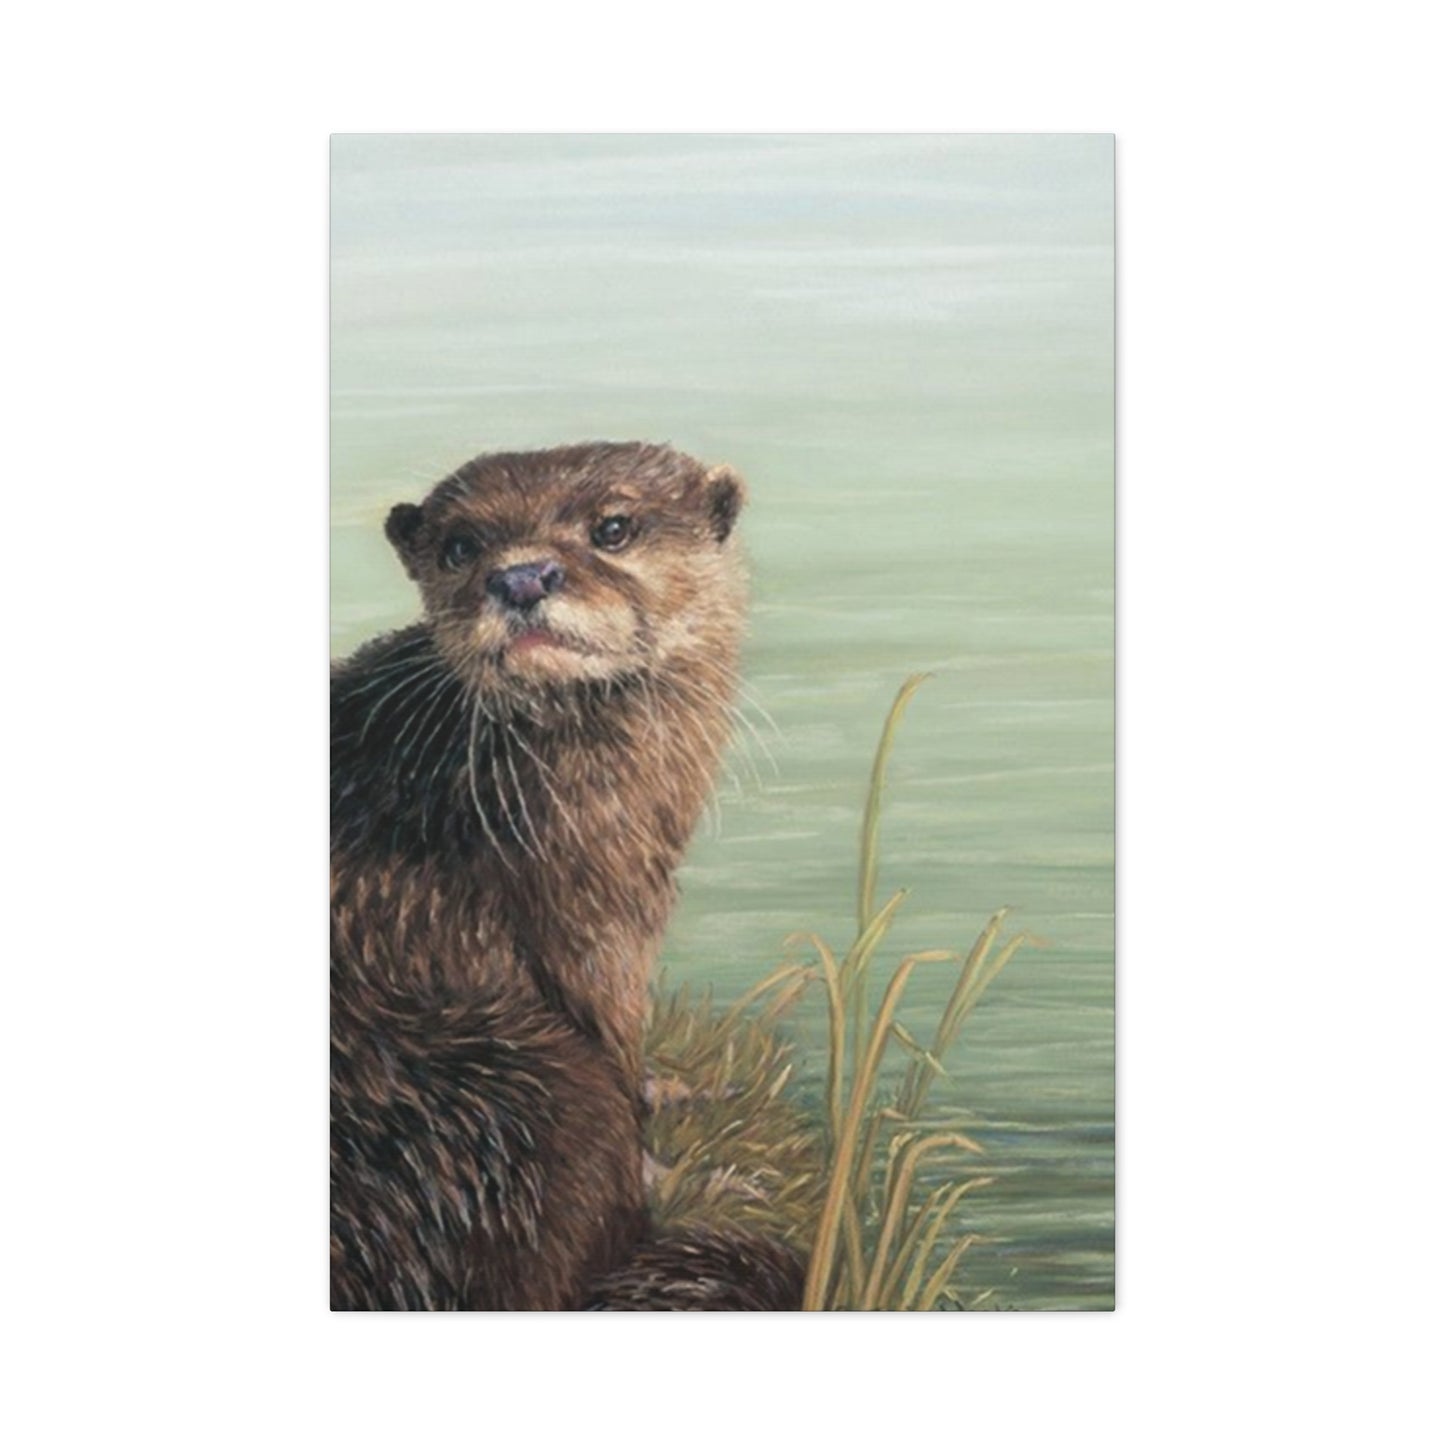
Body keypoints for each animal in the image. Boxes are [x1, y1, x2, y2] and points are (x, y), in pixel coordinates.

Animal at [330, 441, 804, 1310]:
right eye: (460, 545)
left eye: (612, 527)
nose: (520, 577)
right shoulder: (587, 908)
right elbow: (608, 1027)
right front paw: (670, 1161)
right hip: (535, 1091)